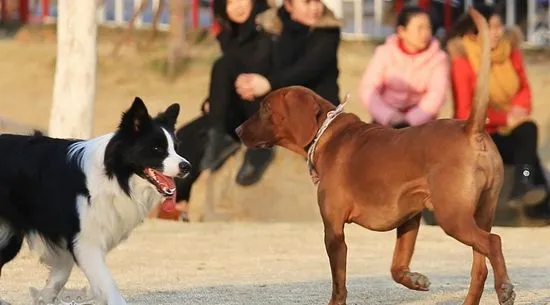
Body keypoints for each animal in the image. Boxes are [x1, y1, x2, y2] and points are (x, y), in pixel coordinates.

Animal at [0, 97, 192, 304]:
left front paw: (44, 297)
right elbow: (108, 285)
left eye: (176, 148)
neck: (112, 175)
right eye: (157, 148)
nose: (187, 166)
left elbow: (61, 274)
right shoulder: (85, 241)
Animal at [236, 6, 516, 304]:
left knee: (494, 242)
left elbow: (339, 283)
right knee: (480, 267)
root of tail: (470, 128)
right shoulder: (409, 218)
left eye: (265, 108)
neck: (326, 132)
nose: (238, 130)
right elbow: (396, 268)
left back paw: (505, 288)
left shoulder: (334, 230)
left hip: (453, 217)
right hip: (482, 212)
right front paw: (415, 280)